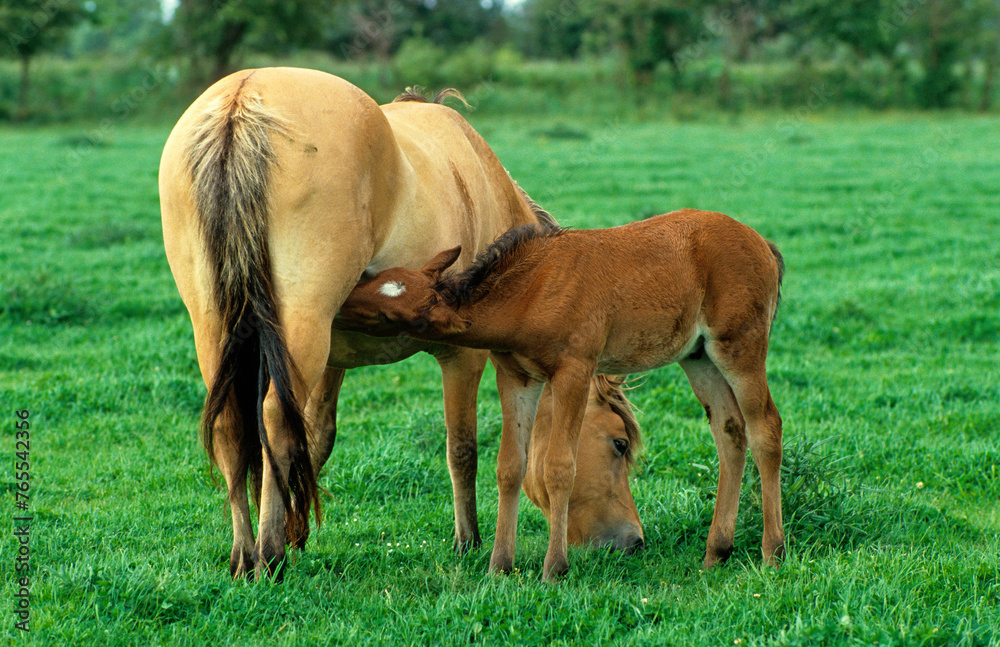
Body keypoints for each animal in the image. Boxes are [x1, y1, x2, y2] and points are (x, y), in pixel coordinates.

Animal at [159, 67, 643, 579]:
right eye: (618, 444)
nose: (632, 541)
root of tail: (242, 100)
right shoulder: (463, 357)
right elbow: (462, 450)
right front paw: (468, 540)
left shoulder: (332, 360)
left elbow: (316, 438)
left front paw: (298, 532)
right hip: (301, 326)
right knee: (272, 418)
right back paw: (267, 554)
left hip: (219, 330)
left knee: (232, 425)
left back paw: (244, 553)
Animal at [337, 208, 786, 582]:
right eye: (374, 279)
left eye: (387, 315)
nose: (338, 306)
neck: (530, 291)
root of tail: (763, 244)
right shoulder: (517, 377)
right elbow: (510, 466)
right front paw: (499, 565)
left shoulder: (574, 369)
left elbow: (558, 468)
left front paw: (554, 569)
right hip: (698, 356)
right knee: (730, 431)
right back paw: (716, 553)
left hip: (739, 345)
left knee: (766, 427)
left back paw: (772, 552)